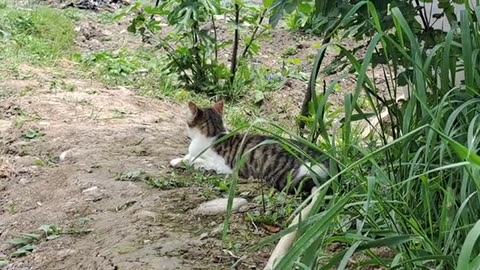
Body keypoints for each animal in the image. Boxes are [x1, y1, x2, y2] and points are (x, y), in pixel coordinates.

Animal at [169, 100, 330, 193]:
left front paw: (185, 162)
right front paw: (179, 159)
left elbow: (192, 159)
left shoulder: (223, 166)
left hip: (285, 177)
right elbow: (188, 156)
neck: (215, 133)